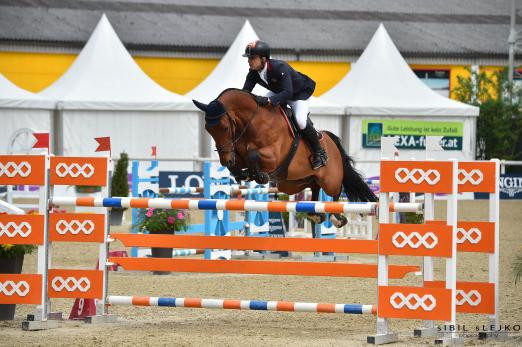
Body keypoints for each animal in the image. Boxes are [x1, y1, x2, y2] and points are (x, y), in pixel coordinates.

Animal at [191, 89, 374, 228]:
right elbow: (242, 161)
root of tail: (331, 140)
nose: (225, 160)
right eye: (208, 129)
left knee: (336, 190)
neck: (252, 122)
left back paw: (336, 217)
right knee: (314, 186)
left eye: (224, 127)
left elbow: (253, 154)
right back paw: (315, 214)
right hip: (292, 183)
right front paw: (243, 173)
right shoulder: (239, 153)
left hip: (329, 180)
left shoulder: (274, 156)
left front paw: (260, 175)